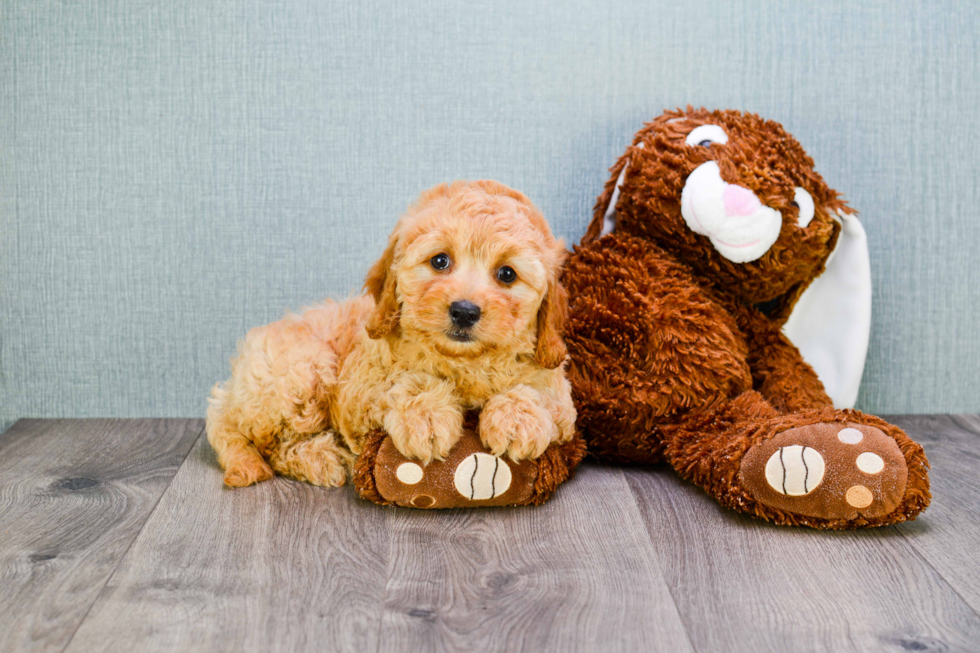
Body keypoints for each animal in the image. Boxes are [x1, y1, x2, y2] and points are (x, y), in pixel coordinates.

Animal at [207, 178, 576, 484]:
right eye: (439, 261)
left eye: (507, 274)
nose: (464, 310)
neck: (463, 362)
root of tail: (230, 389)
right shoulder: (358, 390)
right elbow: (405, 381)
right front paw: (426, 416)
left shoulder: (559, 391)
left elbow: (537, 391)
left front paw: (517, 419)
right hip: (302, 371)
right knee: (267, 442)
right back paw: (322, 458)